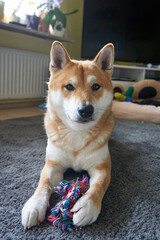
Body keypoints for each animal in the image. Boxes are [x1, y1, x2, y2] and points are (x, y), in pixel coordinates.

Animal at [21, 40, 114, 229]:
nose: (86, 110)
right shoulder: (53, 165)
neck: (77, 135)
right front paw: (34, 204)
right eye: (69, 87)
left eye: (96, 86)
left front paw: (87, 206)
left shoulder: (102, 168)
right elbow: (43, 183)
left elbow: (98, 186)